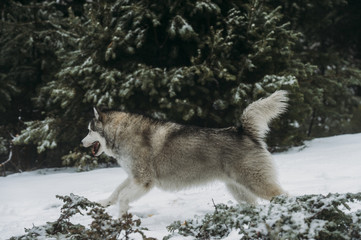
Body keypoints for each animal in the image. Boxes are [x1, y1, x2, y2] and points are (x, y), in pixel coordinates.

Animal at [81, 90, 286, 214]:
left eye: (89, 130)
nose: (81, 142)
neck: (120, 133)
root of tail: (242, 131)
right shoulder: (134, 177)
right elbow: (116, 191)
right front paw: (103, 203)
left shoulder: (144, 181)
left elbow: (123, 197)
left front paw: (122, 216)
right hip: (240, 191)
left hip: (256, 183)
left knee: (284, 196)